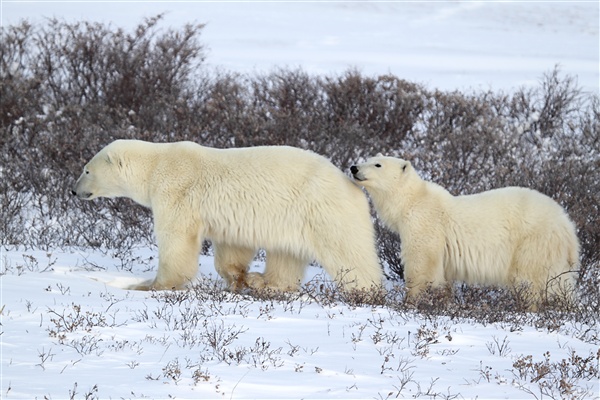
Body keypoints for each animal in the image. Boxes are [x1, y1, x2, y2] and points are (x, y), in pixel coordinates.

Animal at [71, 140, 380, 290]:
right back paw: (266, 283)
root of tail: (350, 183)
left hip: (323, 210)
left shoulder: (177, 192)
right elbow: (232, 248)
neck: (156, 165)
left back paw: (366, 291)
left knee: (348, 253)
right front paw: (238, 279)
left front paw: (151, 285)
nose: (74, 191)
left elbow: (177, 240)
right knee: (286, 254)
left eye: (86, 170)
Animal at [350, 156, 580, 306]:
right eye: (368, 158)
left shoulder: (424, 224)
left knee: (529, 281)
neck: (412, 200)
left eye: (377, 164)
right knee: (560, 284)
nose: (353, 167)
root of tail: (567, 226)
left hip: (533, 242)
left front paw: (410, 302)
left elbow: (421, 264)